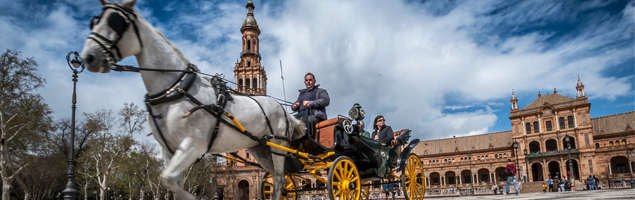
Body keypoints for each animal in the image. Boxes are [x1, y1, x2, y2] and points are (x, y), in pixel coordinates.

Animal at [79, 0, 306, 199]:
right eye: (94, 21)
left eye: (115, 22)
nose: (89, 56)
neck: (176, 89)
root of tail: (285, 112)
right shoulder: (171, 151)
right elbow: (171, 181)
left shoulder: (193, 144)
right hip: (260, 149)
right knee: (278, 178)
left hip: (278, 146)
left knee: (279, 179)